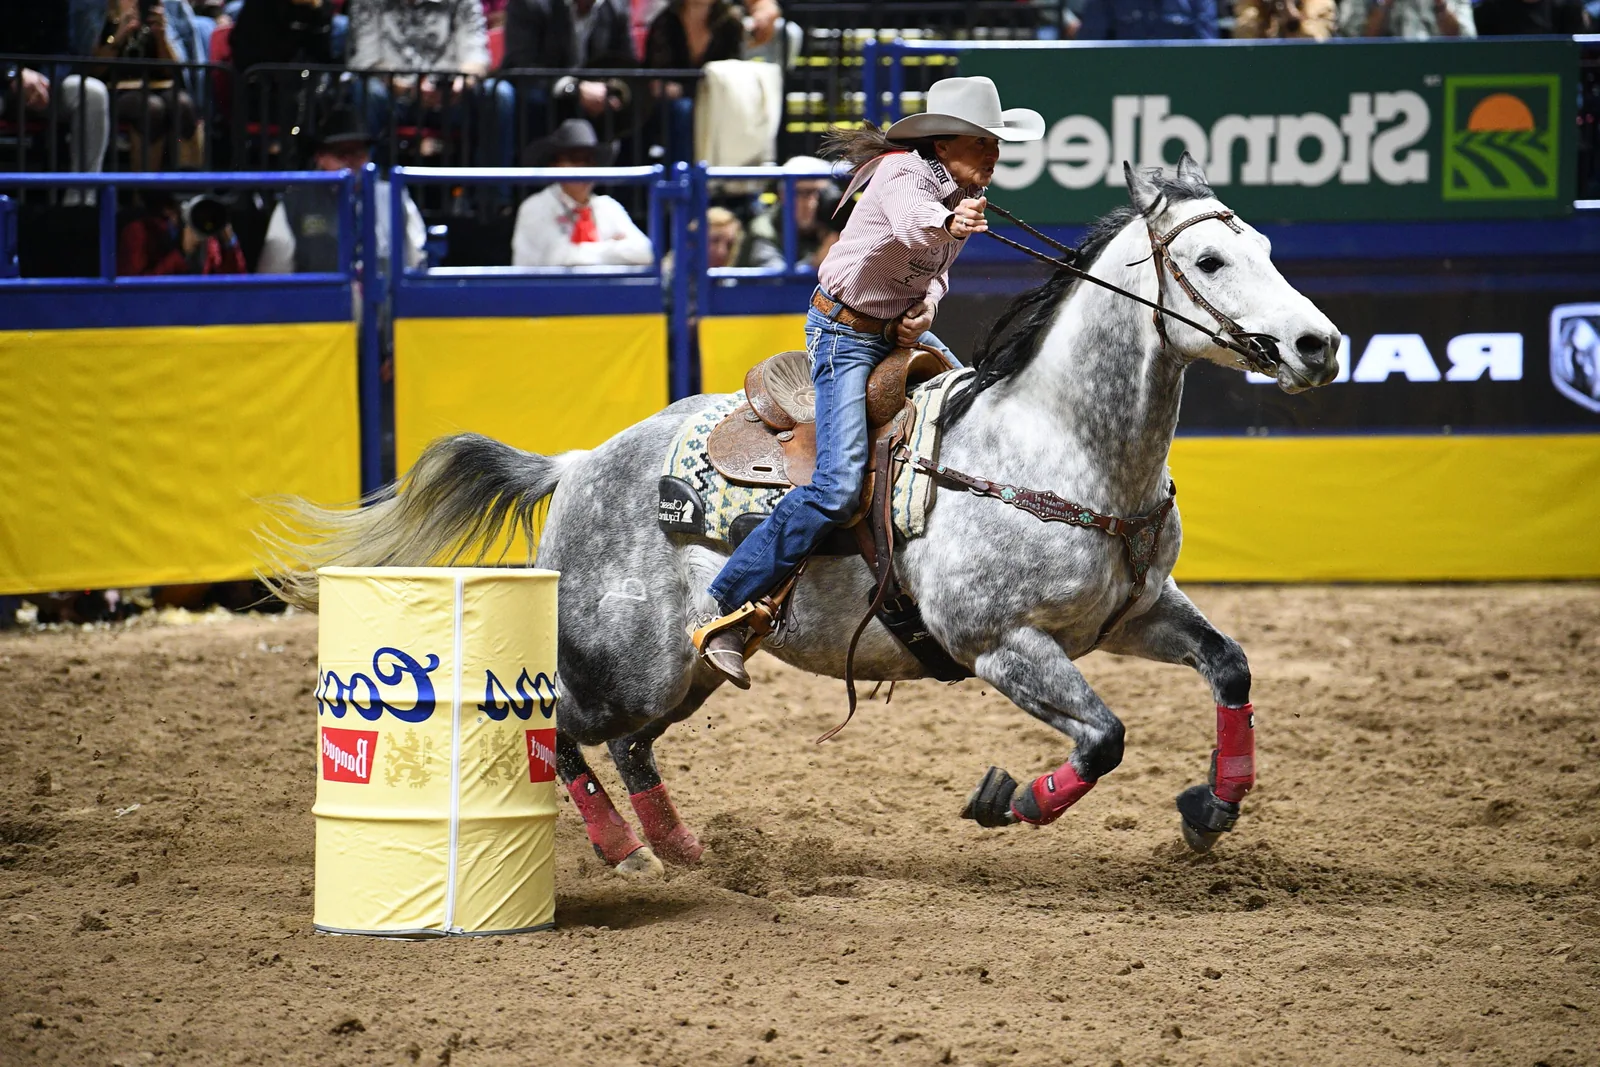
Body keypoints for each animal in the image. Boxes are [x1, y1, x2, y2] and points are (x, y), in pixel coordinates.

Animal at [265, 153, 1341, 875]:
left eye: (1264, 247)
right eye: (1210, 259)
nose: (1319, 344)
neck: (1055, 445)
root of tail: (577, 465)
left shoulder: (1135, 611)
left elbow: (1231, 667)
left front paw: (1211, 806)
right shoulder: (1000, 642)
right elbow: (1104, 738)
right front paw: (1008, 801)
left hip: (685, 668)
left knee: (630, 745)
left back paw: (680, 846)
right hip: (627, 661)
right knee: (563, 727)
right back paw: (625, 850)